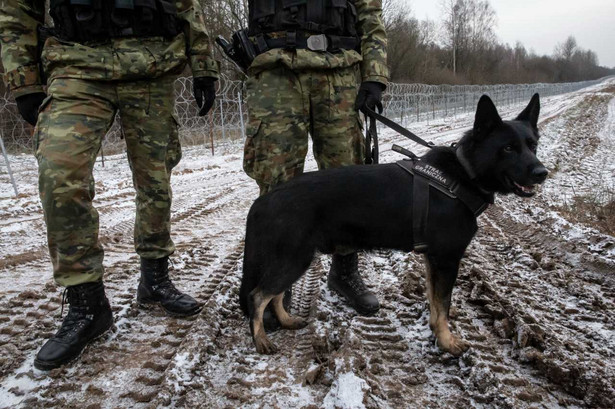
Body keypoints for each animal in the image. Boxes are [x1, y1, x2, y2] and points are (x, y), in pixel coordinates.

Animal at [239, 92, 548, 354]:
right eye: (507, 148)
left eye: (533, 145)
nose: (542, 172)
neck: (464, 172)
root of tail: (264, 200)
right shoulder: (447, 259)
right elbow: (444, 304)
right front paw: (447, 341)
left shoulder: (433, 260)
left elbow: (435, 301)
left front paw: (436, 331)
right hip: (295, 257)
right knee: (258, 296)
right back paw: (261, 339)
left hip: (295, 258)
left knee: (274, 294)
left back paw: (286, 321)